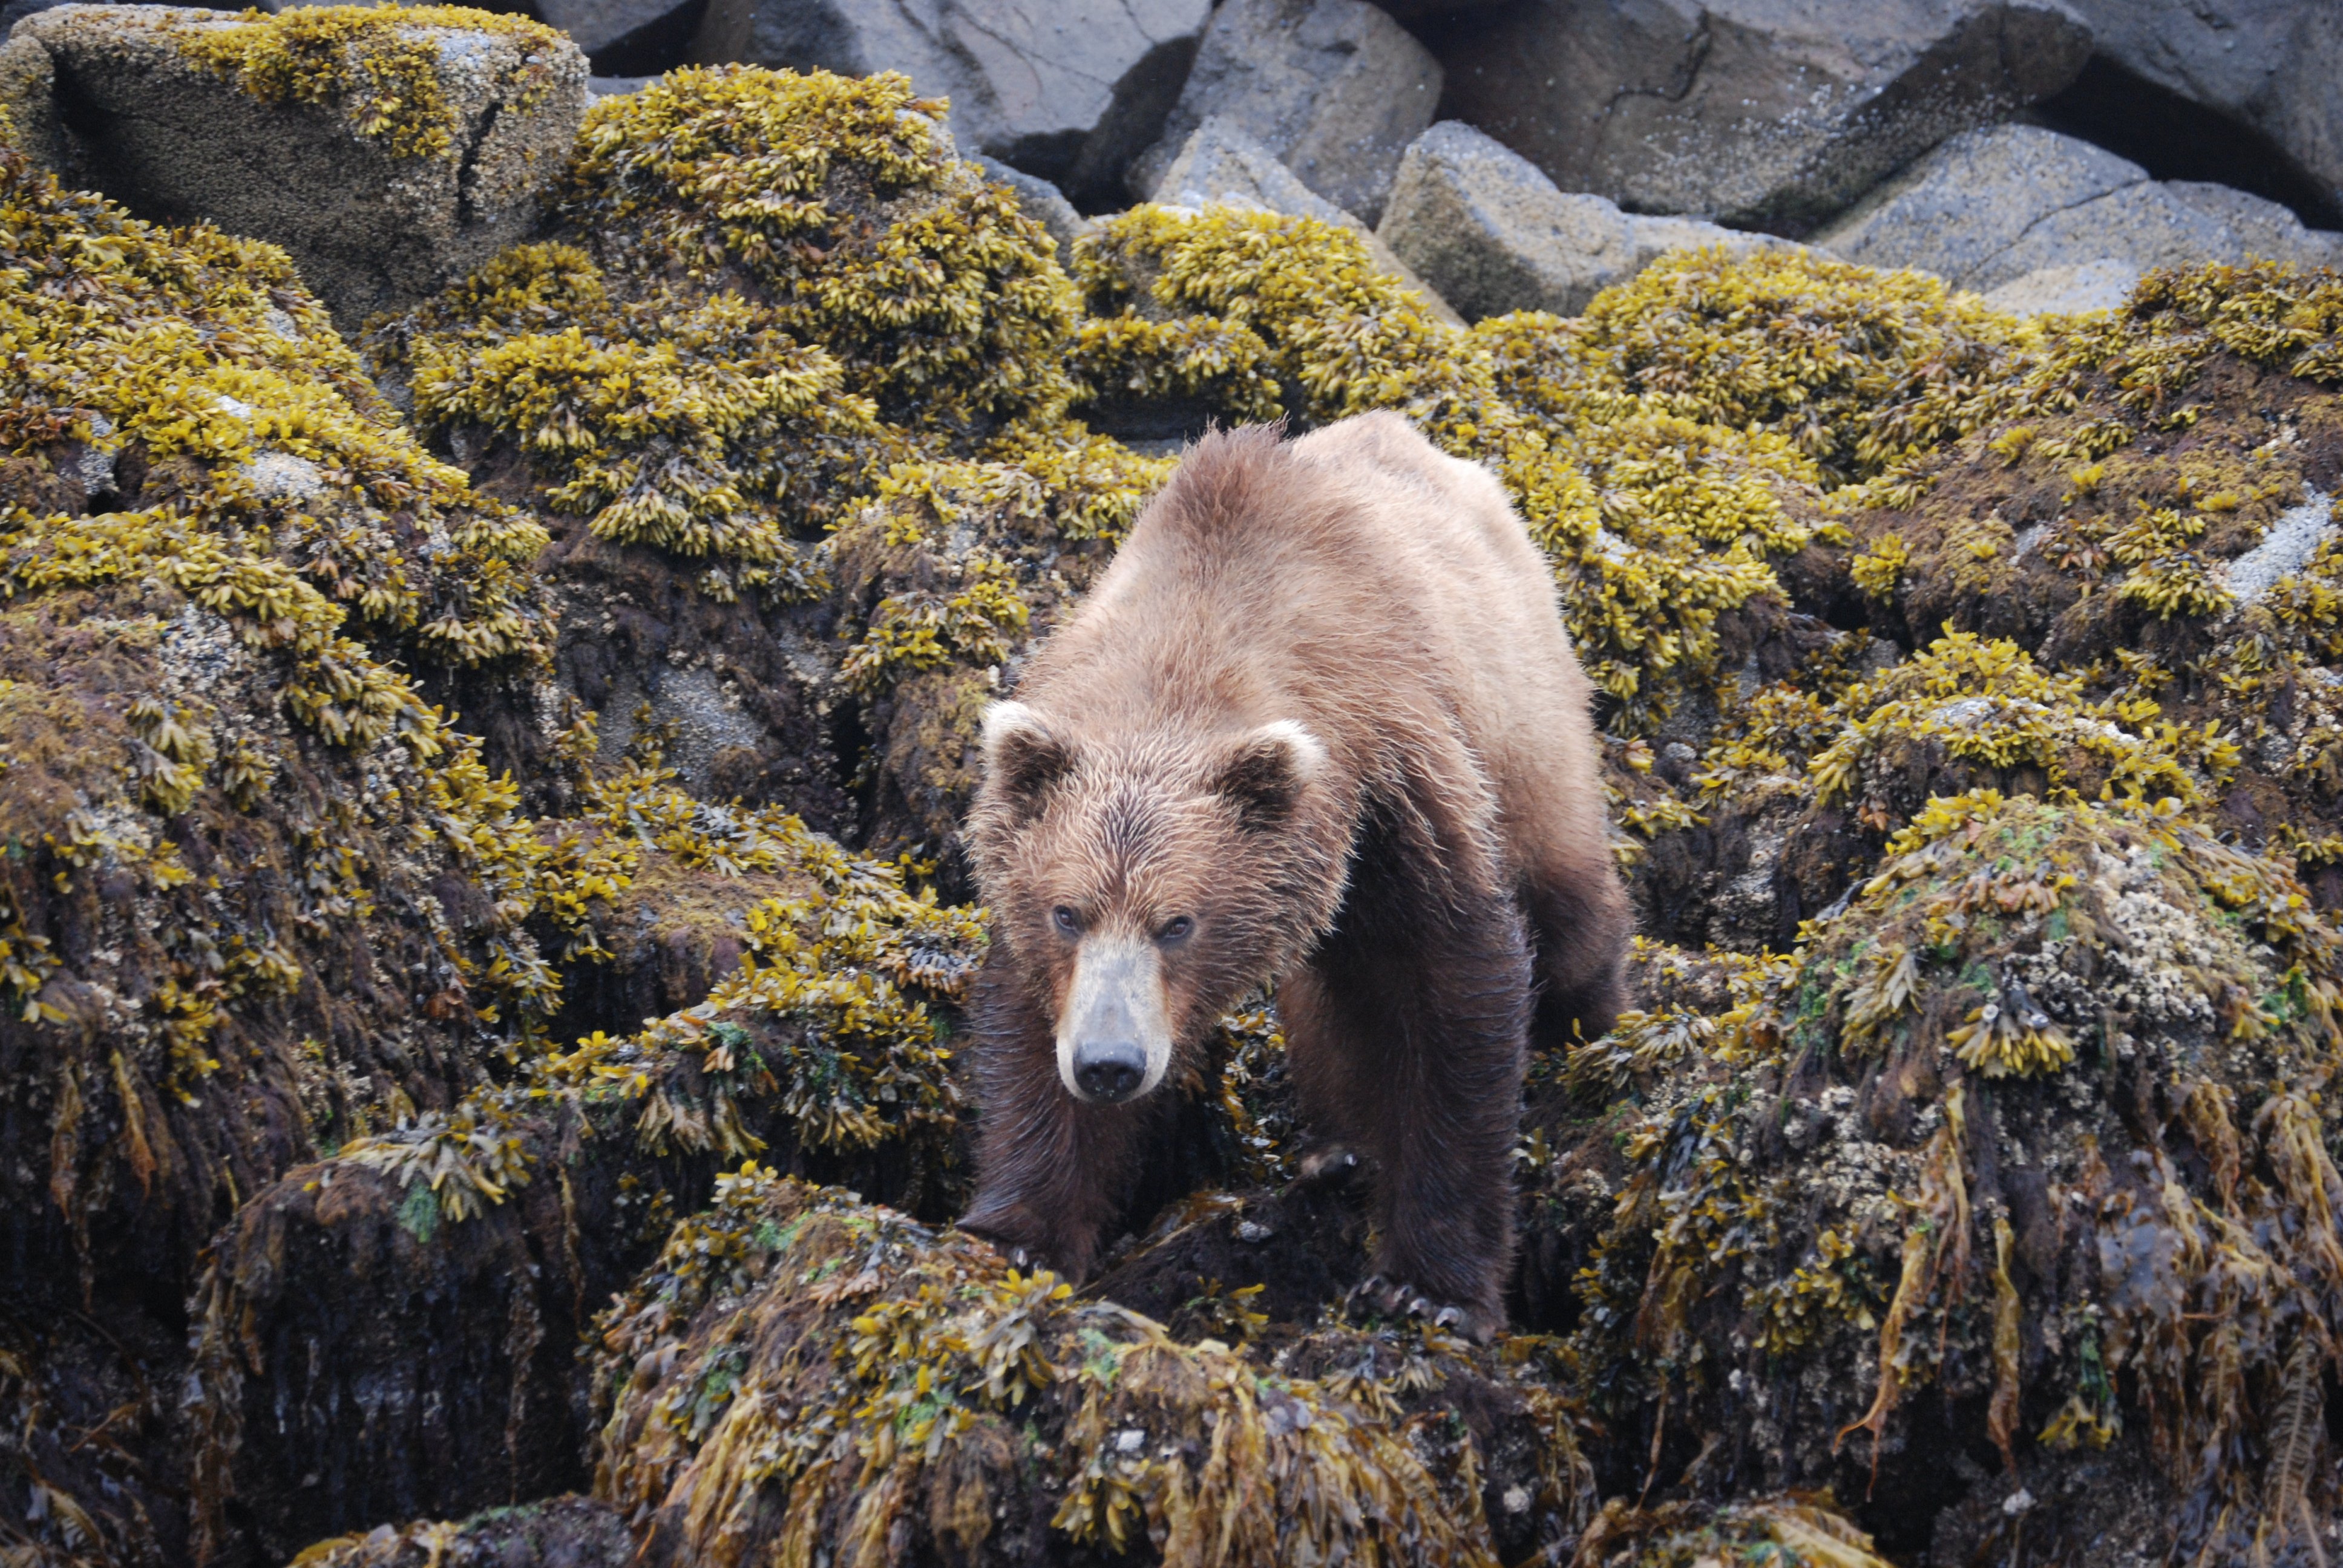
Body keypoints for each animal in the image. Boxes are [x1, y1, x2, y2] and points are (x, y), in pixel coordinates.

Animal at [951, 408, 1630, 1331]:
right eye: (1067, 912)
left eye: (1178, 923)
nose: (1109, 1063)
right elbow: (1029, 1031)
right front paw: (1019, 1231)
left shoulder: (1396, 785)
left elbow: (1457, 988)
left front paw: (1432, 1286)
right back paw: (1336, 1145)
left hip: (1525, 715)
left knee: (1564, 903)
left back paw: (1594, 1026)